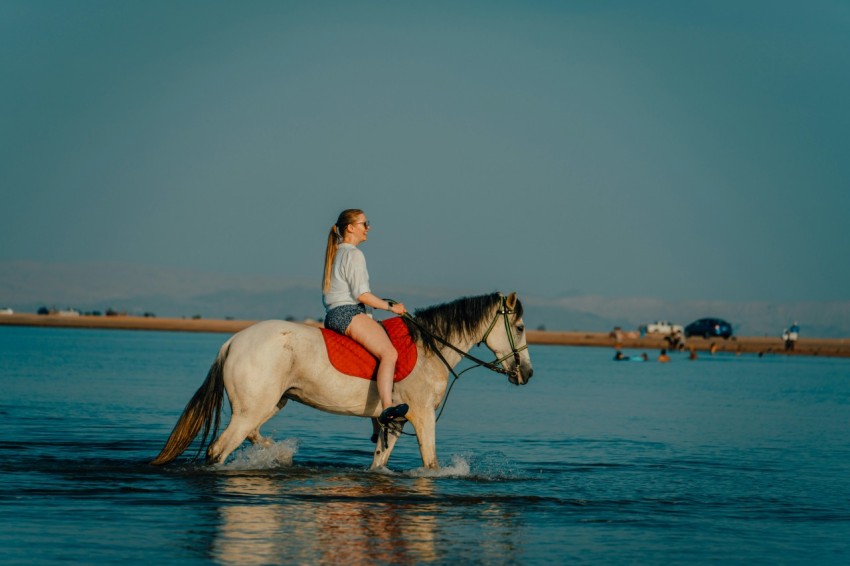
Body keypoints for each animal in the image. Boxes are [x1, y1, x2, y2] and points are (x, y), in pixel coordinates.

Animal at [152, 292, 528, 470]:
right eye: (521, 327)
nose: (527, 373)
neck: (429, 348)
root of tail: (231, 341)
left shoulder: (394, 421)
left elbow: (379, 463)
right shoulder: (422, 416)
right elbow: (431, 464)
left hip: (271, 402)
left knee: (253, 434)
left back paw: (281, 454)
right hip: (251, 409)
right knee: (219, 450)